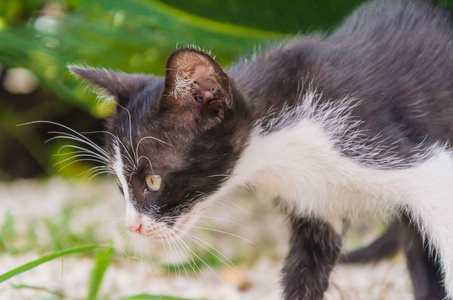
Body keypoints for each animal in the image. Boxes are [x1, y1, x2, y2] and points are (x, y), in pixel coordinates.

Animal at [68, 0, 452, 298]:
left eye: (152, 181)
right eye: (120, 187)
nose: (133, 227)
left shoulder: (396, 151)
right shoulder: (316, 208)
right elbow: (304, 274)